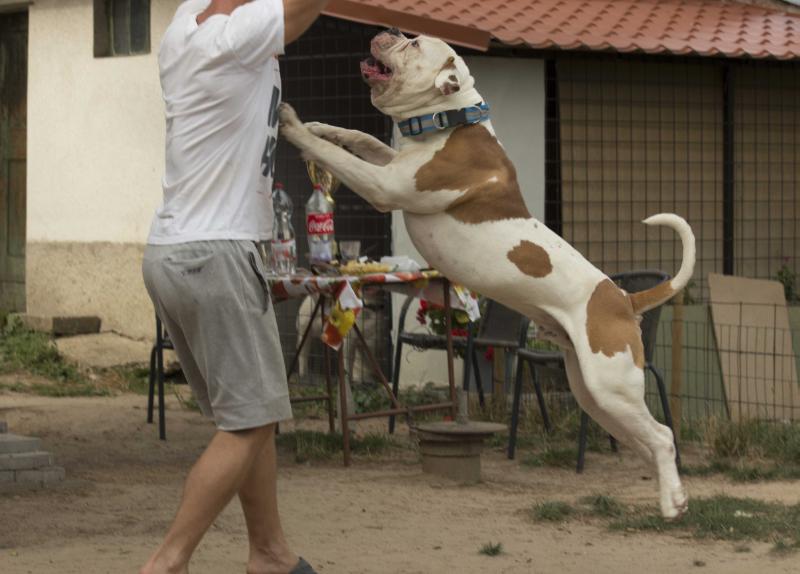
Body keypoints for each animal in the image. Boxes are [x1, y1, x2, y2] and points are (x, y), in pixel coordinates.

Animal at [282, 29, 692, 520]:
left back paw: (672, 503)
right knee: (648, 438)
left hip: (610, 384)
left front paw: (293, 125)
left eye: (414, 45)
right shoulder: (391, 165)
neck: (450, 119)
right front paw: (322, 127)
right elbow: (359, 139)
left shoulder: (385, 186)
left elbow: (339, 157)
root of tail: (624, 299)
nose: (390, 32)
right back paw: (665, 488)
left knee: (663, 436)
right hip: (592, 392)